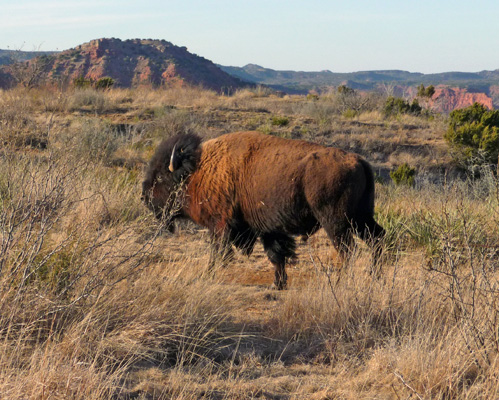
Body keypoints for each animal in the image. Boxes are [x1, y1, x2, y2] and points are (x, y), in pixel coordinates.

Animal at [143, 133, 384, 290]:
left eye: (161, 177)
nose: (145, 198)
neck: (197, 170)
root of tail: (359, 161)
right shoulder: (268, 229)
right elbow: (276, 255)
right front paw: (277, 285)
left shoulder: (220, 225)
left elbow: (218, 253)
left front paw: (208, 275)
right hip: (361, 217)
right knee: (376, 239)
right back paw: (375, 277)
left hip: (336, 222)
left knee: (347, 249)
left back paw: (341, 282)